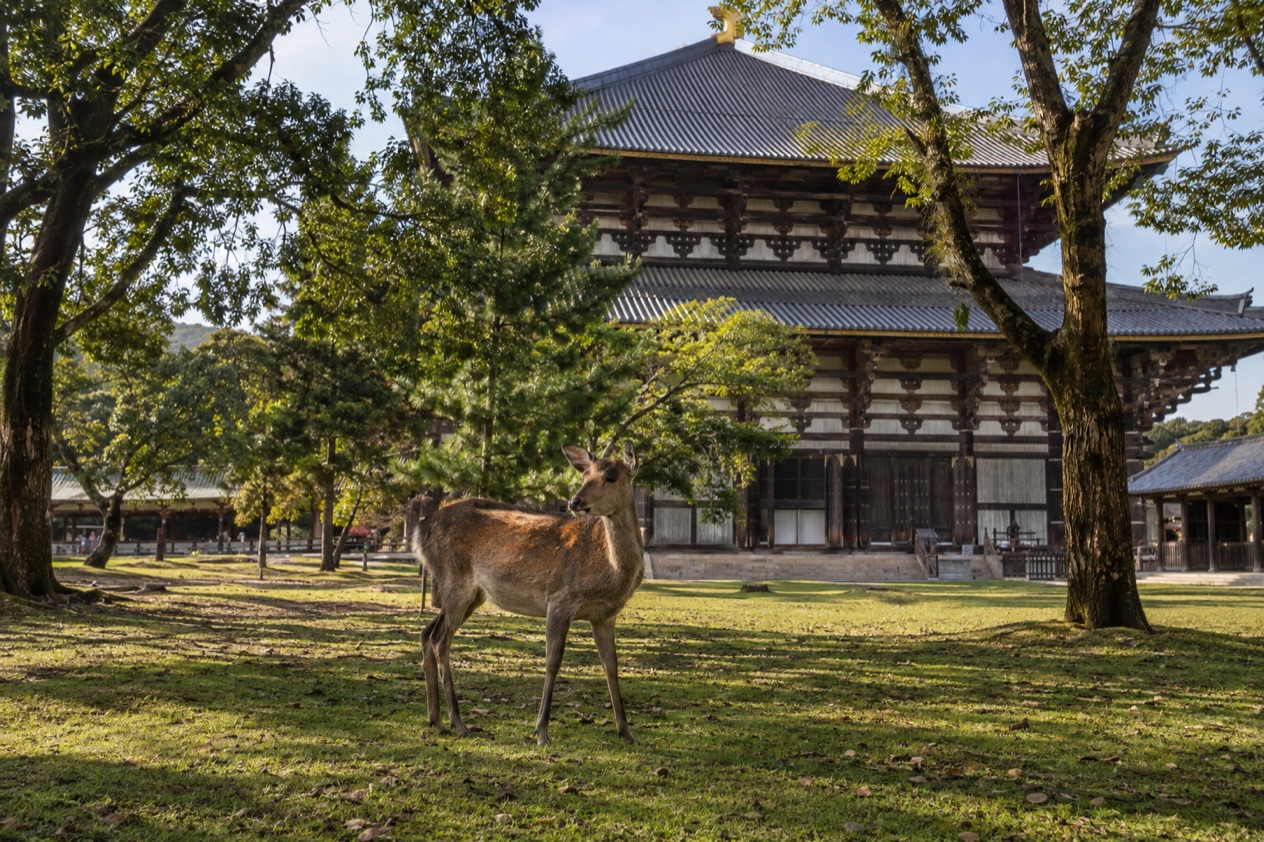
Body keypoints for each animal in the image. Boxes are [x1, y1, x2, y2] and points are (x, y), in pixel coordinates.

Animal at [412, 443, 644, 745]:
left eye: (612, 476)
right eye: (584, 476)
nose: (574, 502)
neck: (611, 571)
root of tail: (420, 530)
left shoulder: (605, 616)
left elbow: (611, 666)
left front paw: (627, 732)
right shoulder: (559, 600)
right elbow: (553, 663)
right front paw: (541, 732)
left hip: (471, 594)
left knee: (427, 633)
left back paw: (436, 721)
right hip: (454, 581)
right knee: (440, 640)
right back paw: (458, 723)